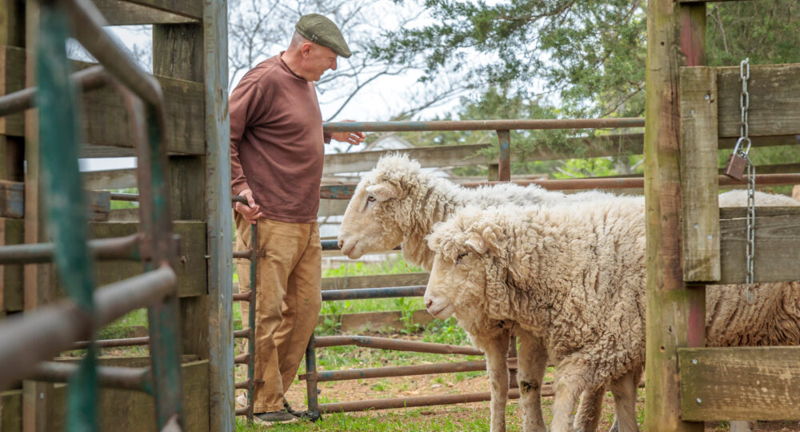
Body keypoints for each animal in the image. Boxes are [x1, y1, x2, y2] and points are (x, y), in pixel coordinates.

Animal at [337, 154, 612, 432]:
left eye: (371, 198)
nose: (340, 242)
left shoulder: (532, 327)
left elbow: (527, 383)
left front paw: (534, 426)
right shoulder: (489, 327)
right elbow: (499, 384)